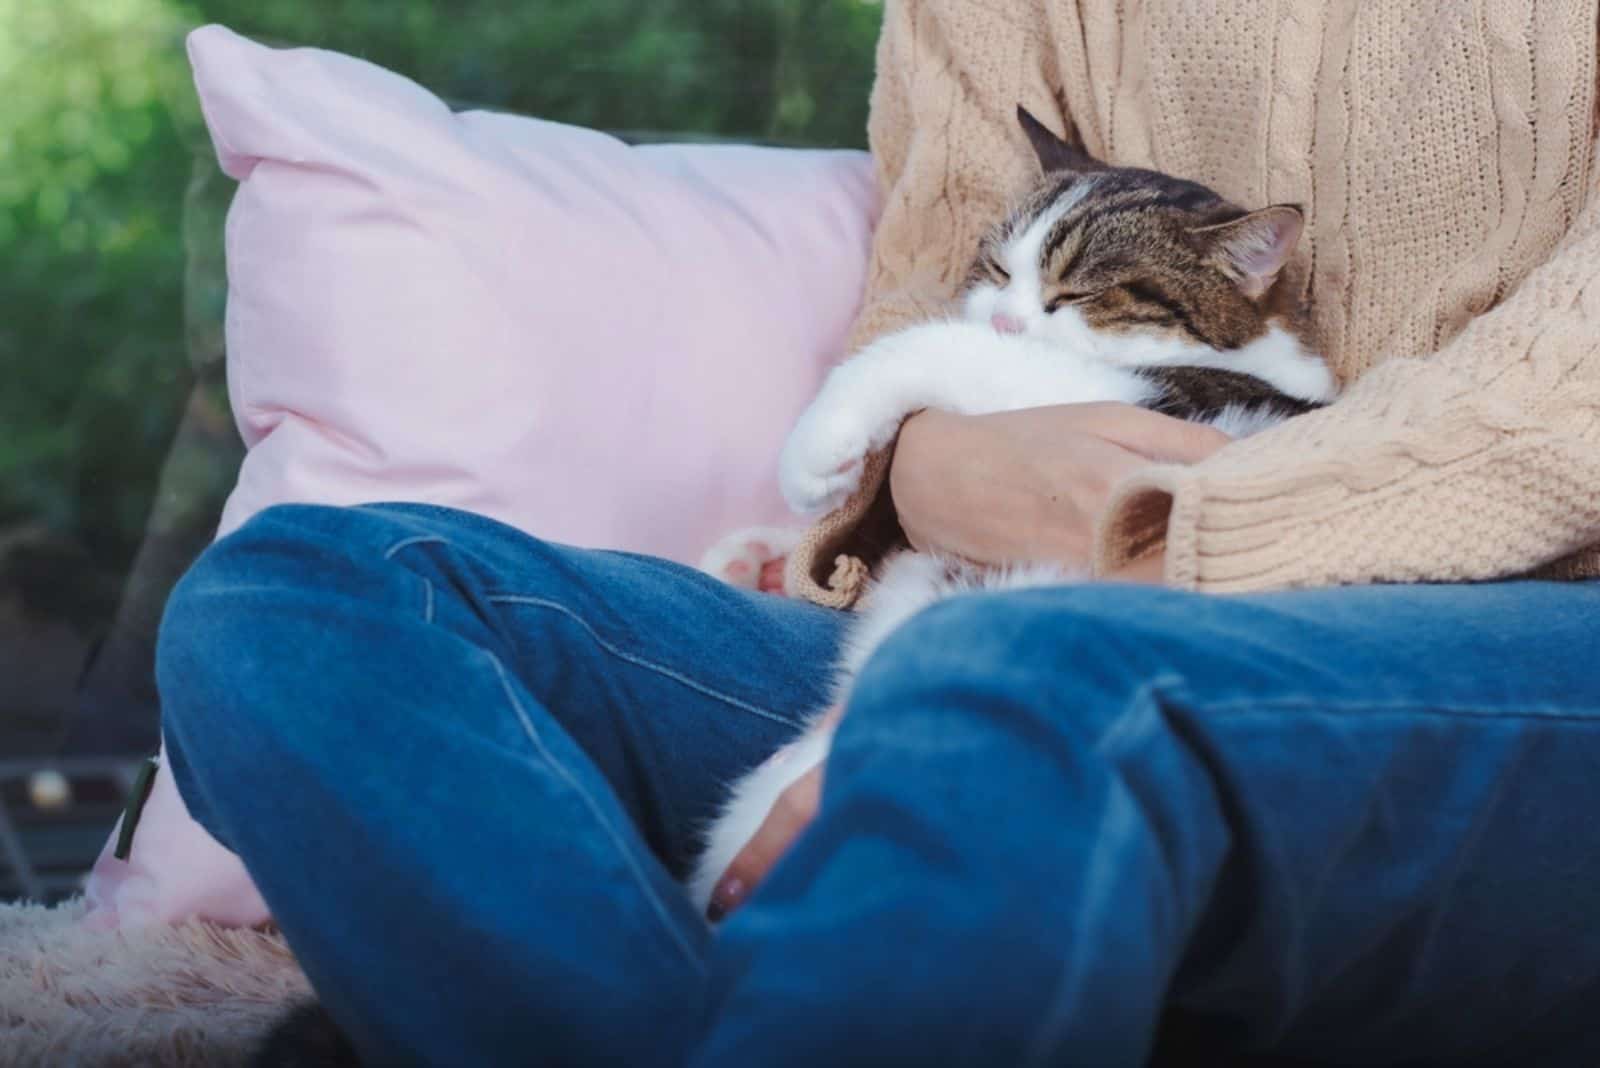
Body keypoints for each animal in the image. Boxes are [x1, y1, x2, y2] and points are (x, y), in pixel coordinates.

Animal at [688, 106, 1337, 908]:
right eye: (999, 270)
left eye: (1077, 294)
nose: (1002, 318)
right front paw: (769, 555)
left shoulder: (1131, 396)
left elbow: (944, 346)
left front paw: (817, 443)